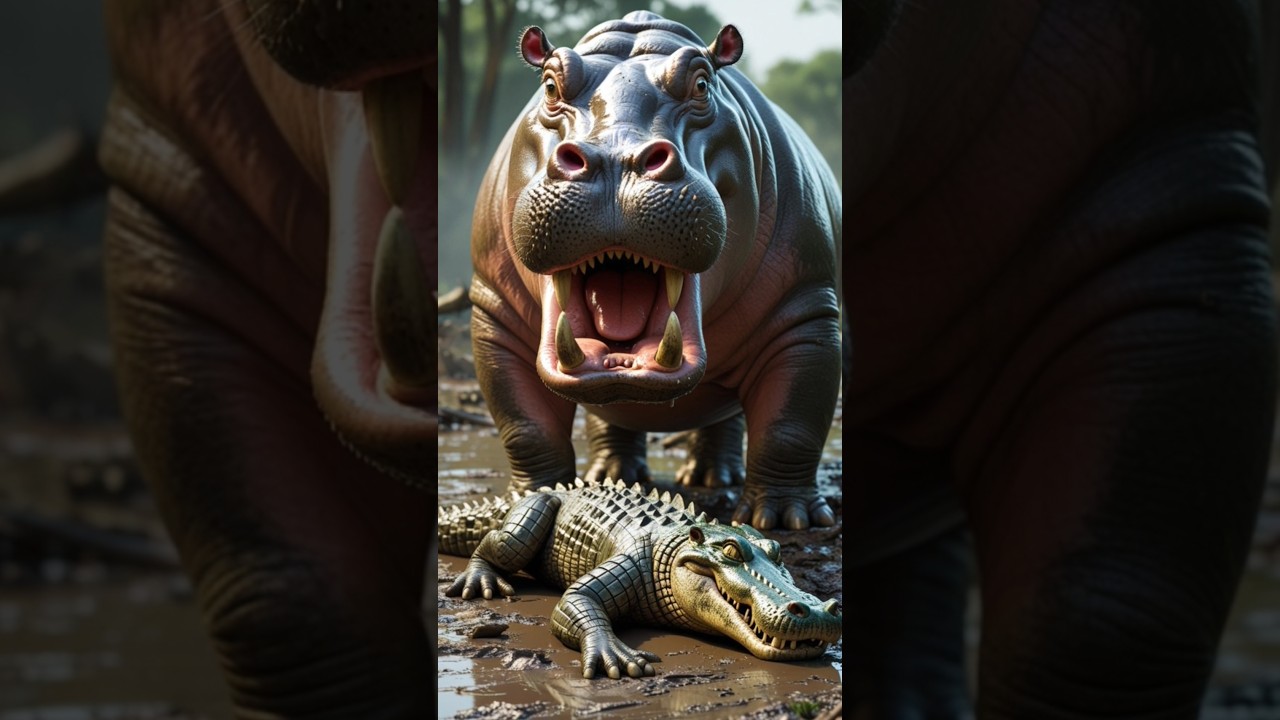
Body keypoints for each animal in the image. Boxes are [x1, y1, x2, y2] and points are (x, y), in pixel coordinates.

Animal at [469, 12, 843, 531]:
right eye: (549, 84)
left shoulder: (807, 313)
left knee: (728, 418)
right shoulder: (493, 314)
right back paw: (612, 474)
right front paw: (531, 497)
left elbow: (791, 423)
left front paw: (788, 519)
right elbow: (526, 427)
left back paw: (712, 478)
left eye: (703, 83)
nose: (615, 159)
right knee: (611, 415)